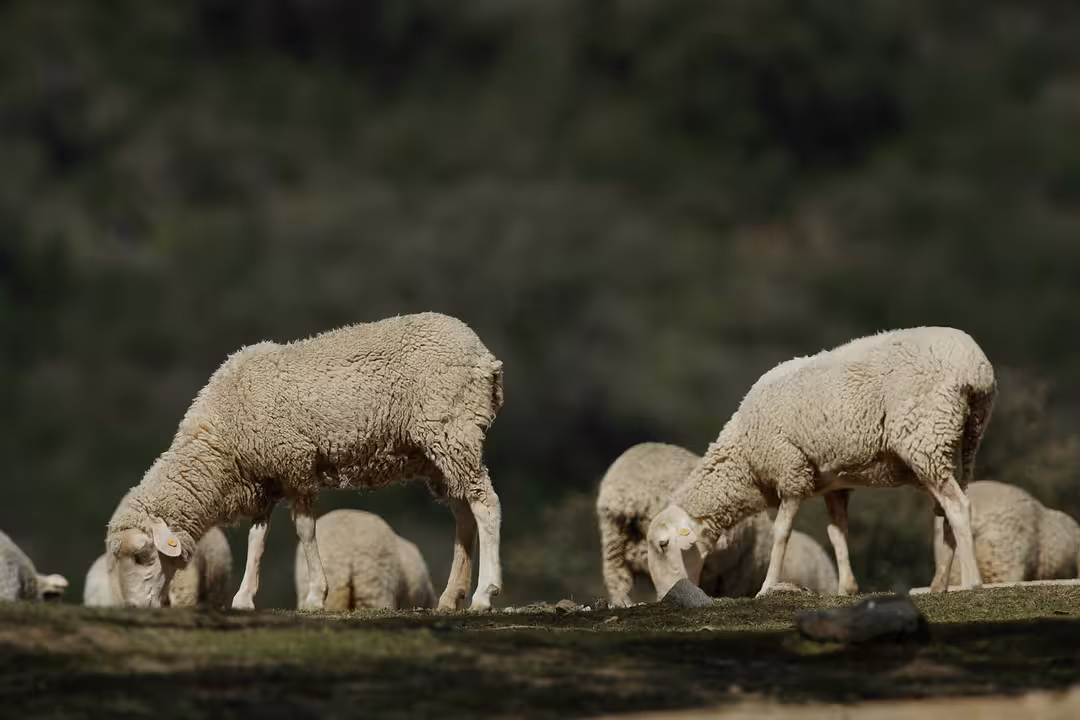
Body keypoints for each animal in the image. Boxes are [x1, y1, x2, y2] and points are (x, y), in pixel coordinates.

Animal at [646, 326, 996, 600]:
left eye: (663, 545)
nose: (667, 597)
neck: (745, 461)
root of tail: (975, 368)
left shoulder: (790, 471)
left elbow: (781, 533)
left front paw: (767, 587)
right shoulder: (833, 485)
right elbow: (837, 533)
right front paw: (846, 588)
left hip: (926, 436)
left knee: (959, 507)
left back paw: (971, 582)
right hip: (961, 444)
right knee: (949, 510)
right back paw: (938, 585)